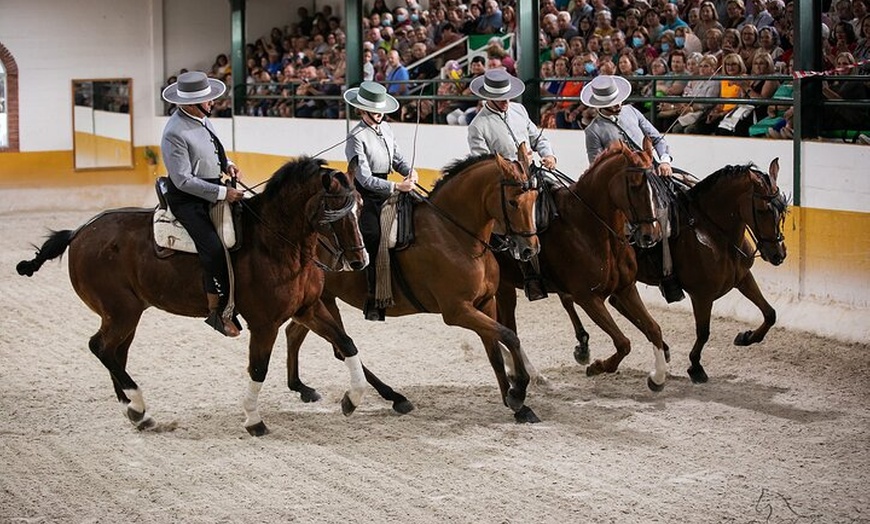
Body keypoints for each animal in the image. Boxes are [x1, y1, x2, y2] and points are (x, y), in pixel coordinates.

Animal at [15, 158, 384, 436]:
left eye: (360, 206)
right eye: (333, 211)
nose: (359, 261)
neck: (275, 244)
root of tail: (79, 232)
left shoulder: (308, 308)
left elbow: (346, 343)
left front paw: (352, 400)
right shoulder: (265, 324)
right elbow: (258, 368)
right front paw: (253, 420)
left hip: (127, 315)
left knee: (115, 353)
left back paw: (136, 412)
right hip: (120, 311)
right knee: (101, 348)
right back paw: (138, 404)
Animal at [284, 146, 544, 422]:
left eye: (535, 198)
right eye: (513, 202)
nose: (530, 249)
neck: (455, 235)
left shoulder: (485, 303)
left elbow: (495, 350)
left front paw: (517, 404)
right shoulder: (458, 311)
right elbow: (509, 337)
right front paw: (518, 393)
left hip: (317, 301)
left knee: (297, 334)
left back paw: (302, 387)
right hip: (324, 300)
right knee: (338, 346)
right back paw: (392, 397)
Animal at [494, 137, 672, 390]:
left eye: (656, 184)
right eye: (634, 185)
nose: (651, 235)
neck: (589, 228)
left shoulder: (626, 289)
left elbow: (653, 328)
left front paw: (657, 377)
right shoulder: (588, 298)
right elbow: (623, 342)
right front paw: (597, 366)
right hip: (503, 287)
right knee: (506, 326)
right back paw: (530, 373)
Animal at [560, 158, 792, 382]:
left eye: (782, 211)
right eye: (762, 210)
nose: (778, 255)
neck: (714, 233)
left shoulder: (743, 278)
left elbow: (770, 313)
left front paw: (746, 337)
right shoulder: (702, 294)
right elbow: (703, 332)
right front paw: (695, 366)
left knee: (616, 304)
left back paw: (661, 346)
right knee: (571, 300)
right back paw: (583, 346)